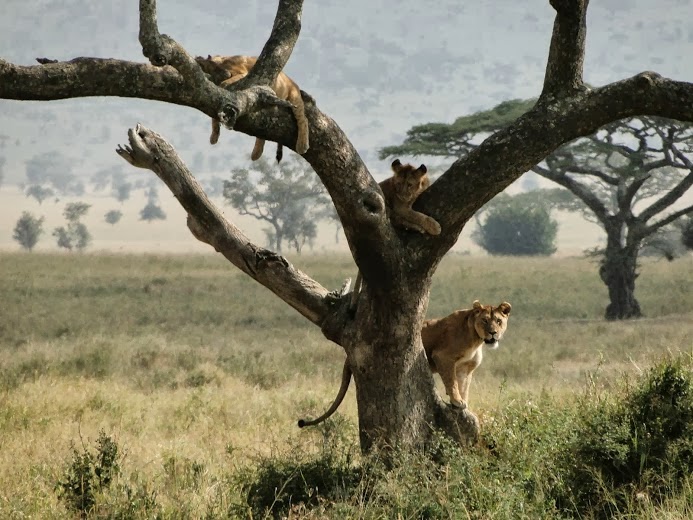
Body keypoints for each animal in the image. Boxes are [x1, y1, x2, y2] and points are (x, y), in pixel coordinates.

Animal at [298, 300, 511, 427]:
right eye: (485, 321)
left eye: (499, 321)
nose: (493, 333)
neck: (476, 340)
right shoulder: (443, 356)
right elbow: (451, 383)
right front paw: (457, 401)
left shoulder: (465, 369)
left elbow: (463, 386)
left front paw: (463, 404)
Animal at [349, 159, 441, 309]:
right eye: (398, 184)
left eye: (409, 184)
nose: (402, 195)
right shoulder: (401, 207)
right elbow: (418, 216)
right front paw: (434, 226)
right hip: (383, 205)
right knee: (397, 220)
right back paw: (416, 227)